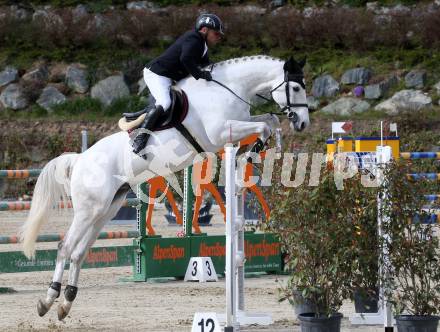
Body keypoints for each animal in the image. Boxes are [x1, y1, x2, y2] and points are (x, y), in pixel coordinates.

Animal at [20, 55, 310, 320]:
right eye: (296, 87)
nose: (303, 123)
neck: (229, 88)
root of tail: (80, 159)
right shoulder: (219, 132)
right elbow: (263, 125)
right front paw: (255, 148)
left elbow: (269, 120)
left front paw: (259, 147)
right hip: (88, 210)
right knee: (65, 248)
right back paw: (48, 300)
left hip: (105, 210)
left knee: (79, 253)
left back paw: (66, 303)